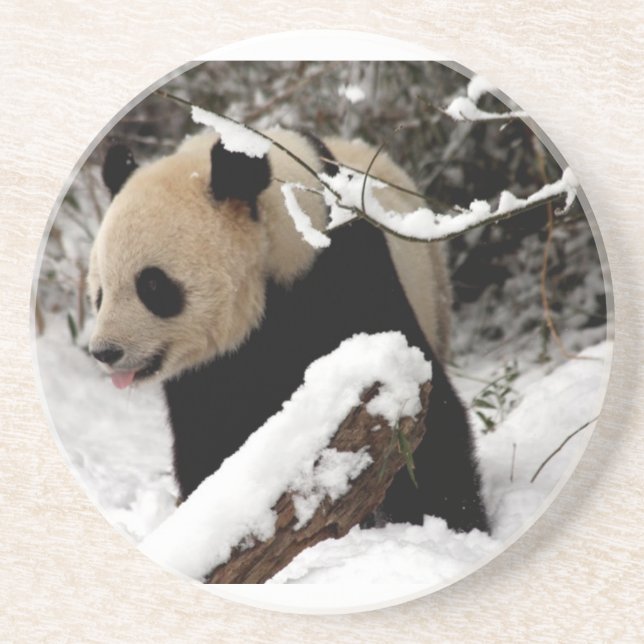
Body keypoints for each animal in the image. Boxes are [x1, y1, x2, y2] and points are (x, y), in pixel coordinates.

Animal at [88, 126, 489, 534]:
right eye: (100, 292)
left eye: (152, 285)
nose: (105, 351)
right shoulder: (206, 372)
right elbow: (208, 438)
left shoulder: (348, 276)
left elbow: (423, 413)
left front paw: (449, 523)